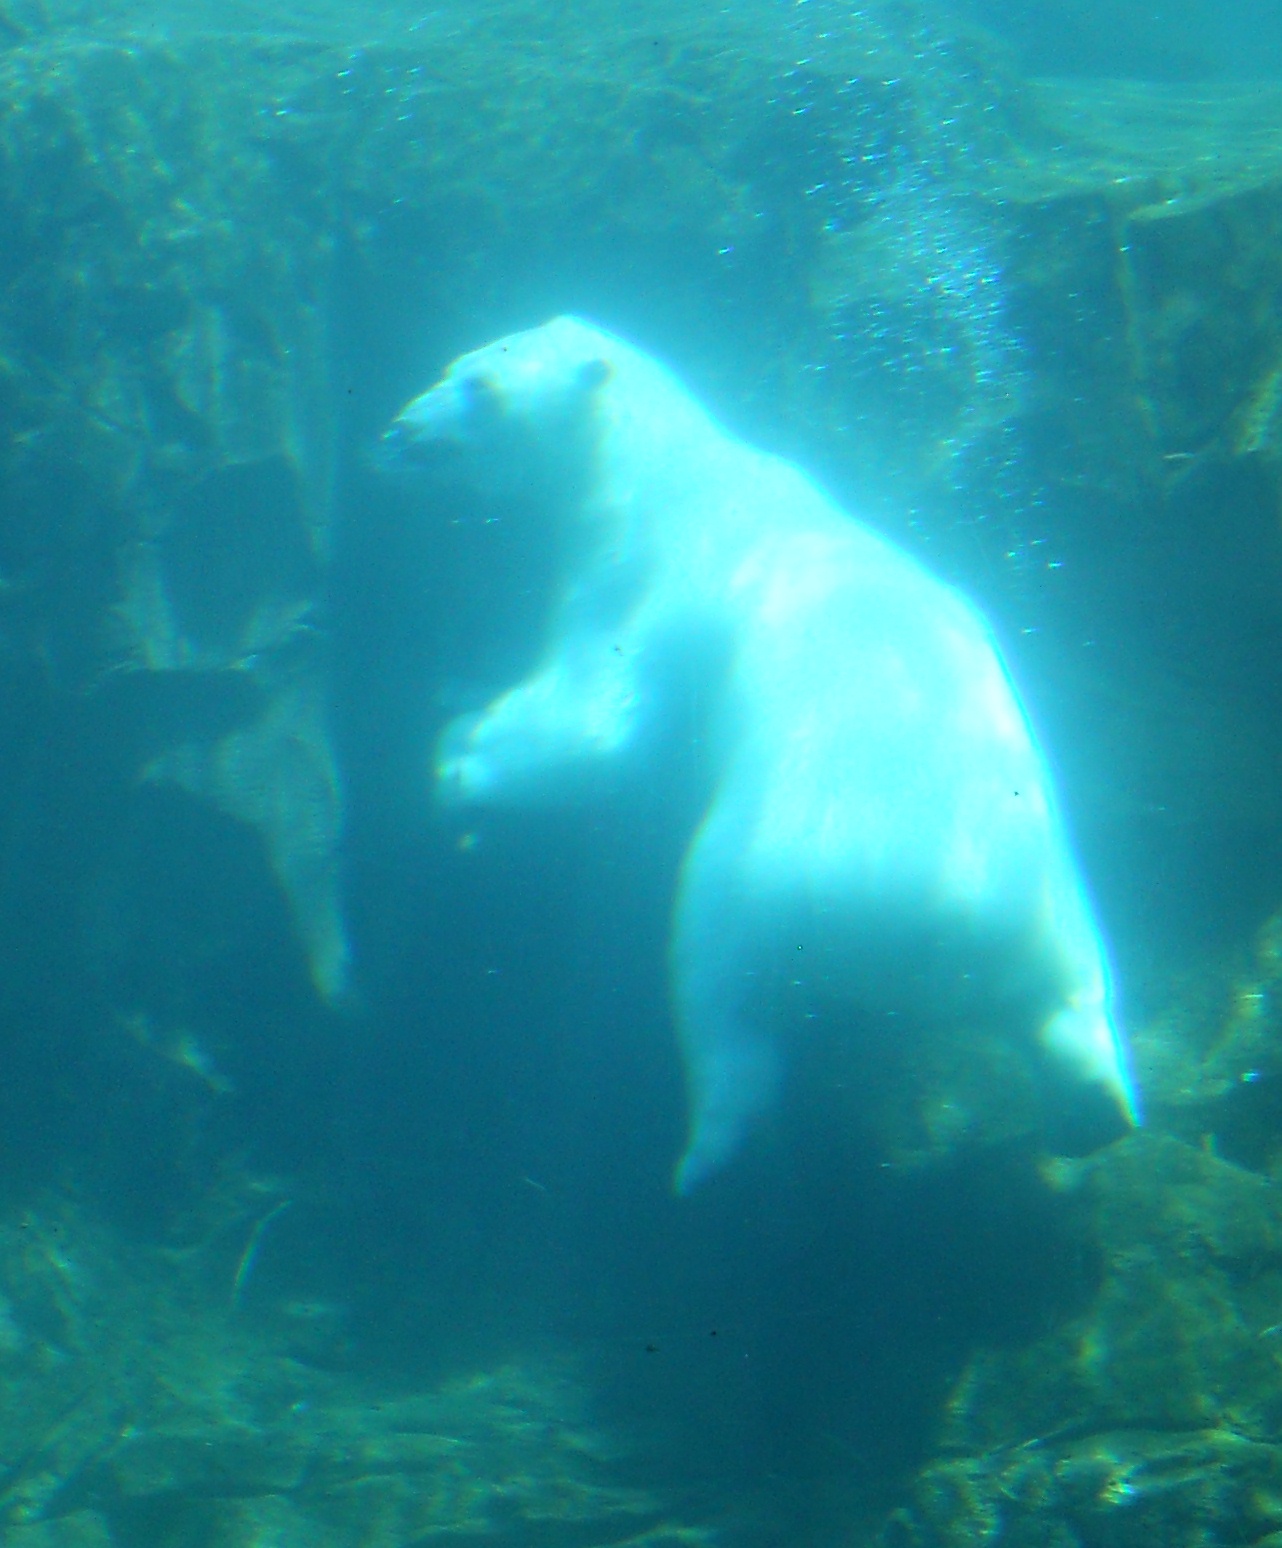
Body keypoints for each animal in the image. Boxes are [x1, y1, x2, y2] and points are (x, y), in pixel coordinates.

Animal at [385, 311, 1139, 1182]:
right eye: (453, 364)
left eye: (481, 386)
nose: (402, 430)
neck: (662, 469)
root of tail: (948, 920)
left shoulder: (638, 585)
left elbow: (594, 729)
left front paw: (457, 759)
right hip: (1054, 900)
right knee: (1074, 1002)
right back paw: (1096, 1112)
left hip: (775, 874)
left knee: (719, 996)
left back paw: (709, 1155)